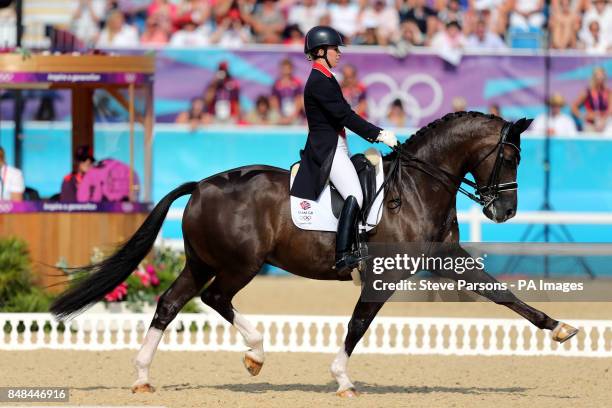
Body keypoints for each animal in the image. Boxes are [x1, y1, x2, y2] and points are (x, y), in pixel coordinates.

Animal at [49, 111, 580, 398]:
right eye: (509, 157)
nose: (505, 212)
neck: (419, 184)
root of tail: (201, 184)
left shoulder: (444, 256)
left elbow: (501, 293)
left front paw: (560, 328)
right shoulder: (383, 276)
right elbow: (358, 325)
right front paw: (342, 380)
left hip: (201, 261)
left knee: (169, 303)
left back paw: (143, 376)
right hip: (239, 264)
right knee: (216, 298)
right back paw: (256, 353)